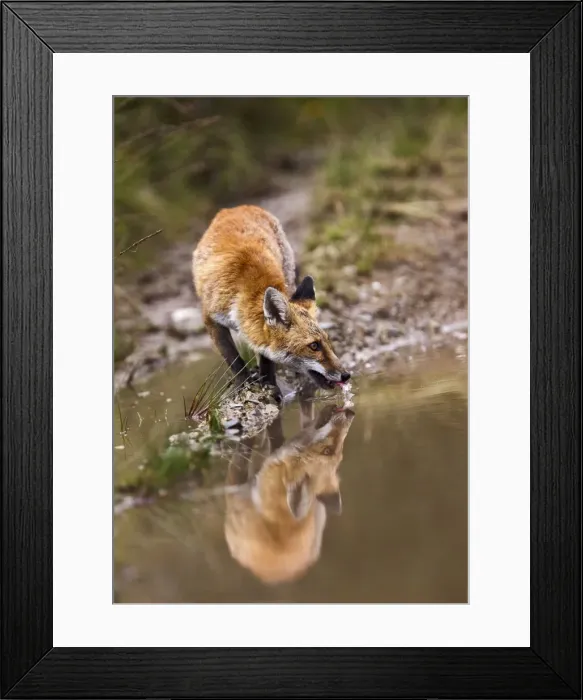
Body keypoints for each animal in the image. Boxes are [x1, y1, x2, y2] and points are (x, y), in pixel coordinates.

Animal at [192, 205, 351, 400]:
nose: (346, 375)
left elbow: (266, 358)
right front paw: (243, 383)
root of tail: (236, 207)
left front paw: (269, 383)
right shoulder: (211, 318)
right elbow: (234, 359)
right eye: (314, 346)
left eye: (327, 341)